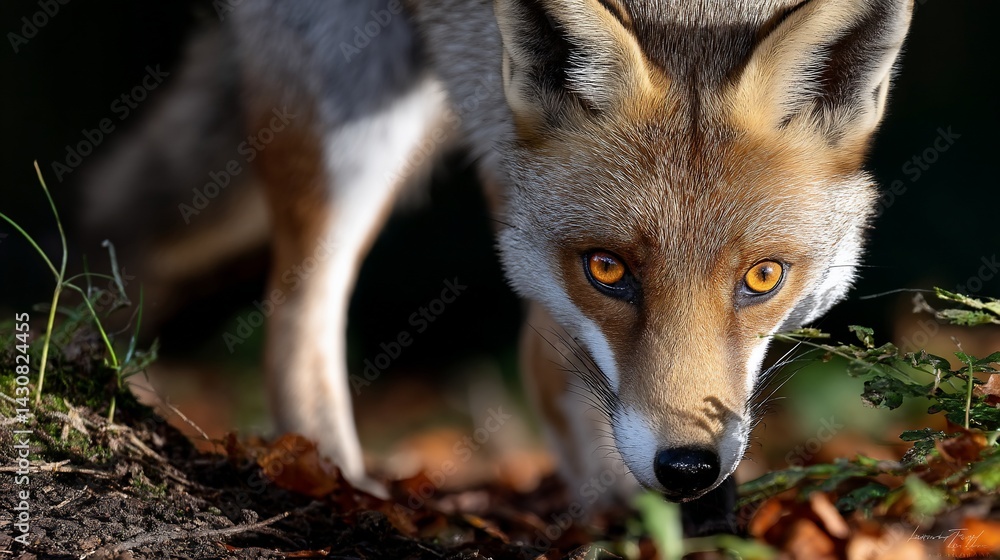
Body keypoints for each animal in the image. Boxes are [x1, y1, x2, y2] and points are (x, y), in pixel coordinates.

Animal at [82, 0, 913, 529]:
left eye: (763, 278)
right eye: (606, 269)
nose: (687, 469)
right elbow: (555, 365)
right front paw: (627, 519)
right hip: (355, 107)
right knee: (298, 313)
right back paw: (340, 492)